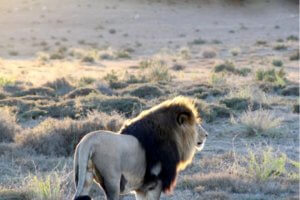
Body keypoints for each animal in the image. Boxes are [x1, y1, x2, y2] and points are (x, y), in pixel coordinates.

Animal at [73, 96, 207, 199]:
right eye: (196, 125)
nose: (206, 134)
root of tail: (87, 141)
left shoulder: (142, 189)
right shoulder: (155, 183)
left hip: (86, 177)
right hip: (112, 182)